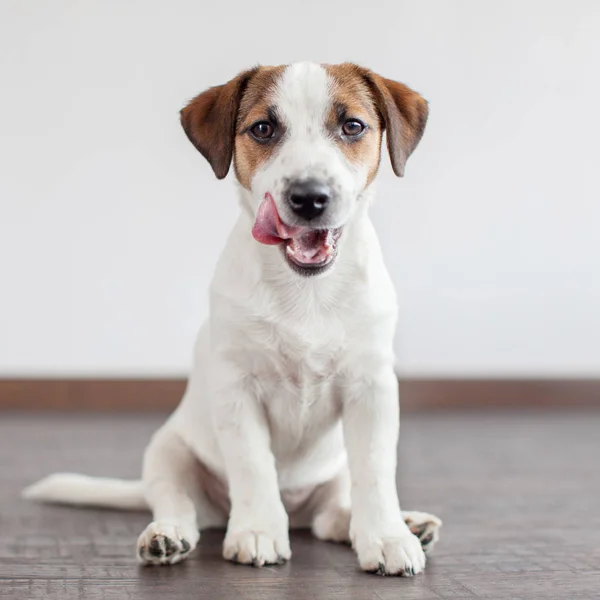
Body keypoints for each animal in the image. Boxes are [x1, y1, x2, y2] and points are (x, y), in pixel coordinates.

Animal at [24, 61, 440, 576]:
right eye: (262, 129)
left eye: (352, 126)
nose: (309, 197)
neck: (306, 290)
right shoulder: (237, 389)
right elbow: (252, 466)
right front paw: (258, 530)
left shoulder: (373, 388)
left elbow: (376, 470)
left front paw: (386, 536)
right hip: (167, 453)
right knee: (179, 504)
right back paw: (166, 536)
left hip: (332, 474)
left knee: (333, 515)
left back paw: (405, 525)